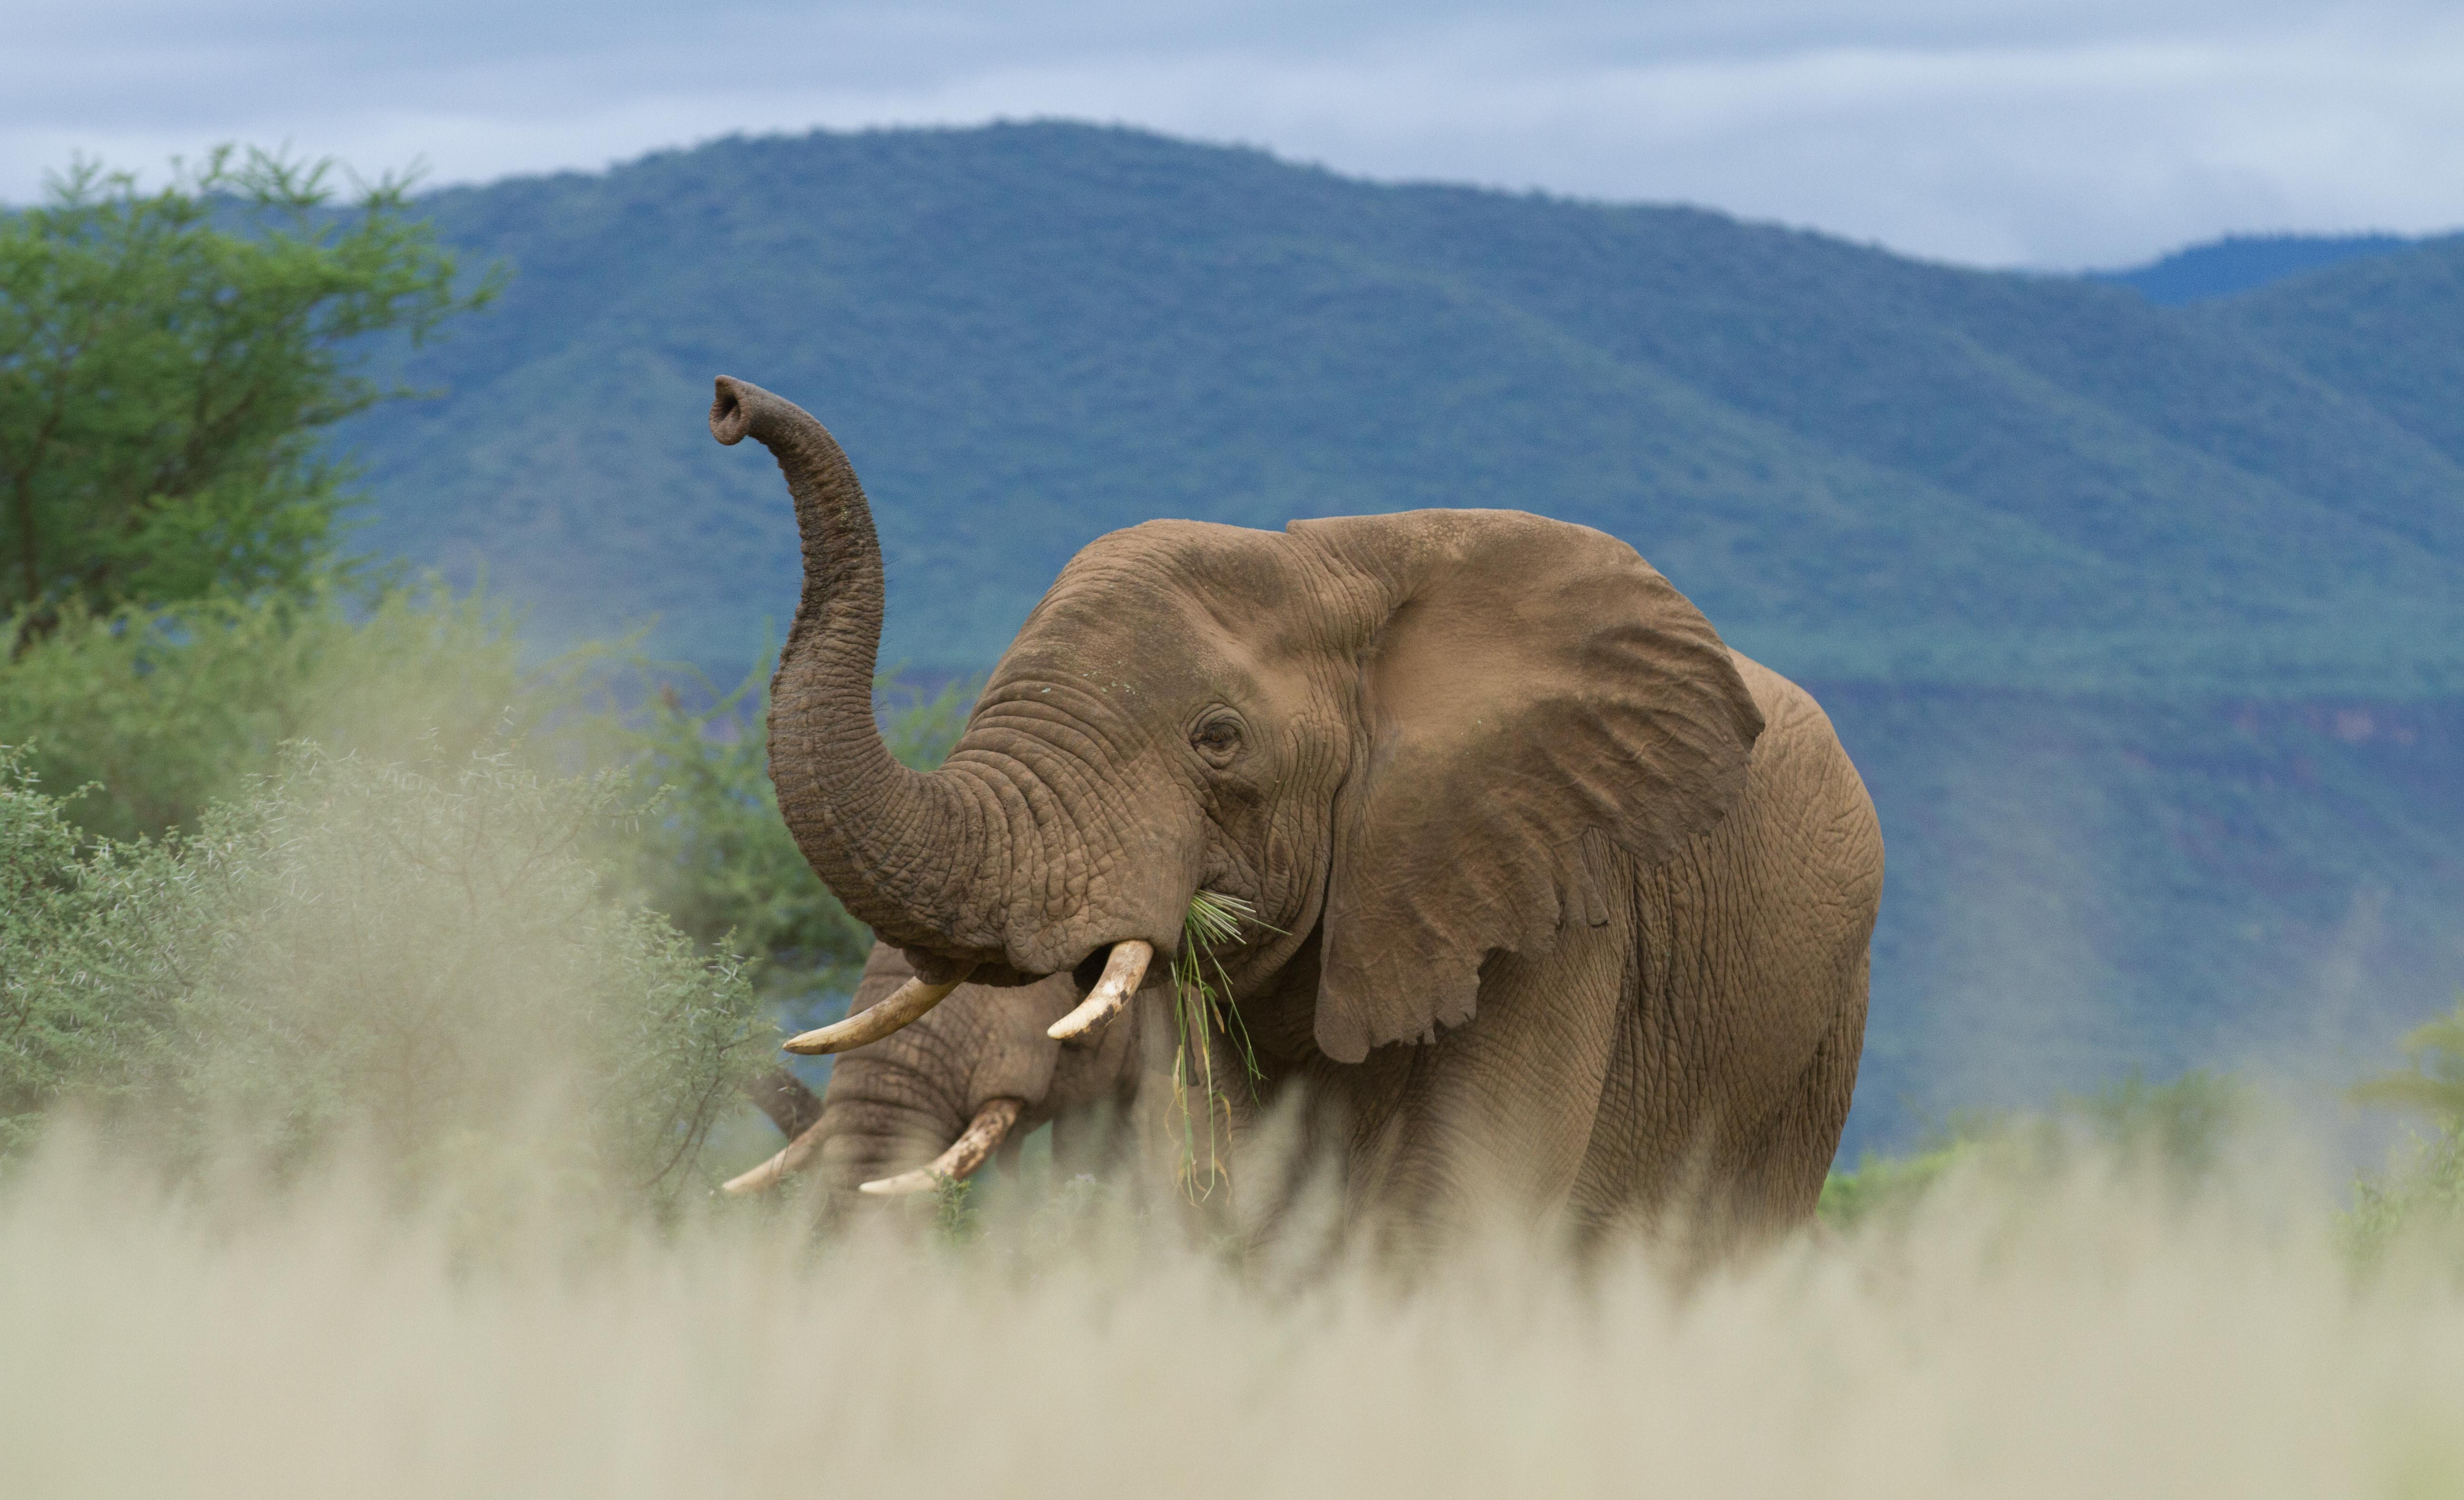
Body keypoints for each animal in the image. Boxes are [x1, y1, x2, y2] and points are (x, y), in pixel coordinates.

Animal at [708, 374, 1883, 1251]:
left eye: (1218, 739)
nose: (727, 402)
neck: (1338, 563)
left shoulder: (1553, 904)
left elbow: (1461, 1208)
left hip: (1818, 1027)